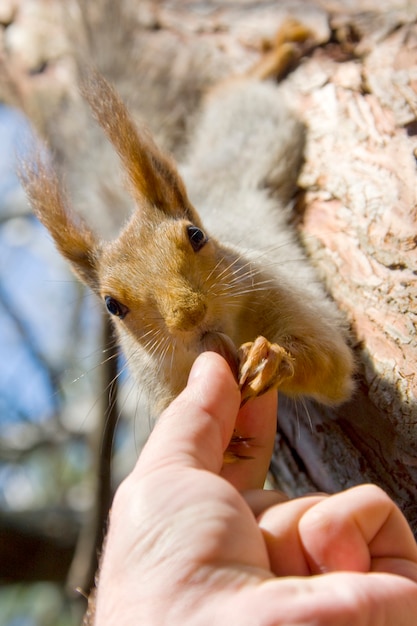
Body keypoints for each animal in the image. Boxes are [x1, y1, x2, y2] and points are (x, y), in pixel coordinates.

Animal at [21, 20, 354, 428]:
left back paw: (279, 50)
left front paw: (272, 357)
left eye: (196, 236)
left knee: (232, 93)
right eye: (112, 305)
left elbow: (330, 360)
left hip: (252, 136)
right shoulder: (162, 384)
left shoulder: (279, 287)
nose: (190, 314)